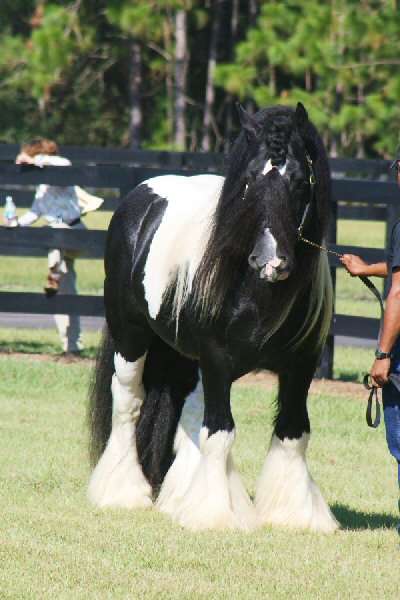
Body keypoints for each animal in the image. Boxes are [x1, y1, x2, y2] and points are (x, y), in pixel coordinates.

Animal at [87, 104, 338, 536]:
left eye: (299, 181)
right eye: (250, 180)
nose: (270, 262)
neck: (257, 291)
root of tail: (140, 198)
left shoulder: (301, 364)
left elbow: (293, 432)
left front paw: (293, 515)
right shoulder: (218, 360)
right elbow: (220, 433)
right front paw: (217, 515)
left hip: (184, 357)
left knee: (185, 415)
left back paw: (176, 497)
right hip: (130, 337)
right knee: (128, 402)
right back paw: (122, 492)